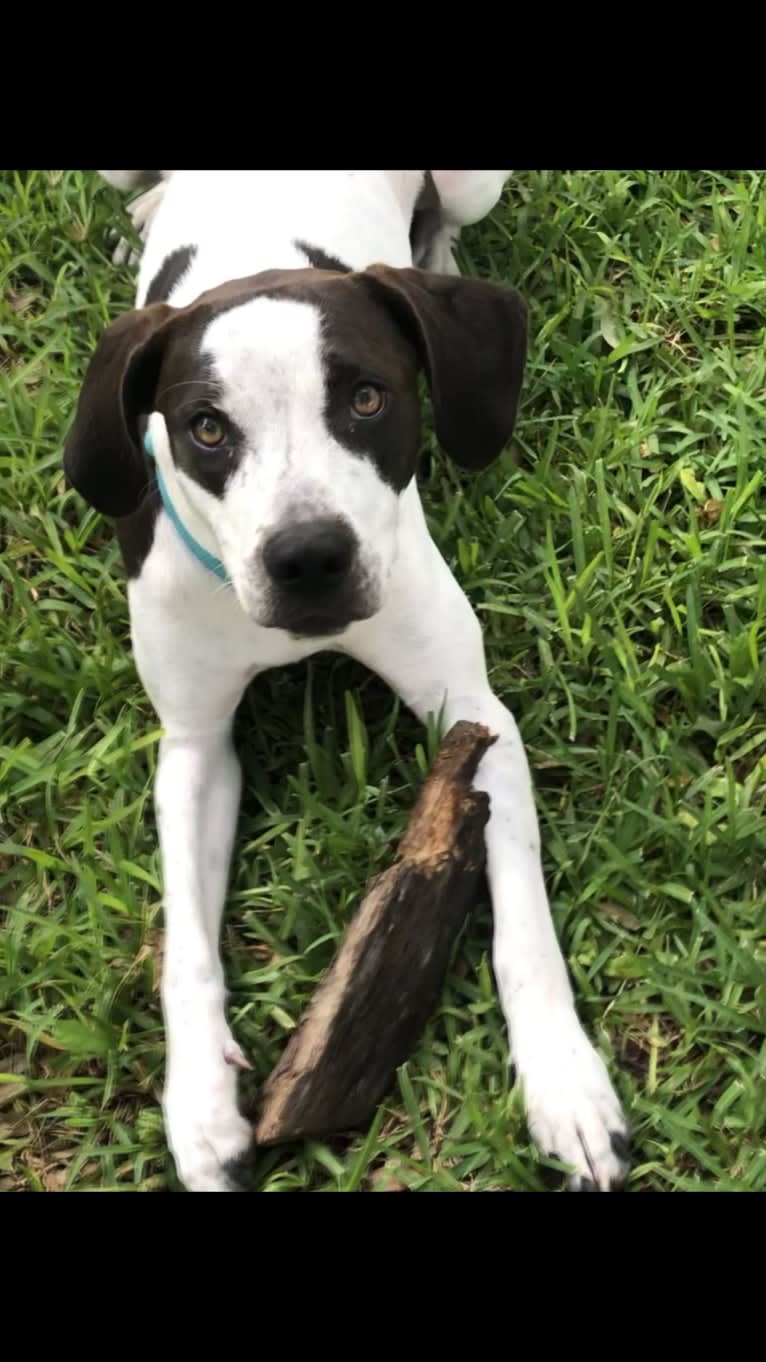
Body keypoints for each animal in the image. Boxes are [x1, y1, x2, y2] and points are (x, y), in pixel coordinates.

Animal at [64, 170, 626, 1193]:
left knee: (448, 220)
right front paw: (199, 1106)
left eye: (367, 399)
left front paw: (566, 1086)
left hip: (476, 189)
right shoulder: (193, 749)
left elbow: (524, 925)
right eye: (207, 428)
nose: (308, 559)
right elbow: (185, 949)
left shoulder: (475, 715)